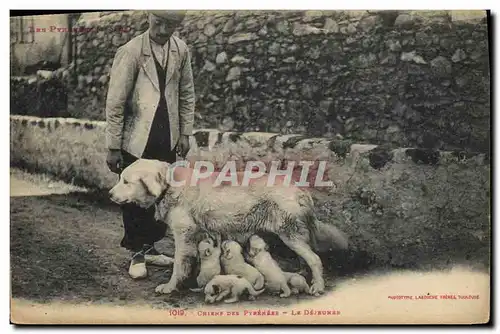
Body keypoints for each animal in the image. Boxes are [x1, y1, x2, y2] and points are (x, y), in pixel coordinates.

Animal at [108, 159, 352, 294]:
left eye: (126, 181)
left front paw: (170, 287)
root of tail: (300, 189)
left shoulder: (183, 236)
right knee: (306, 259)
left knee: (315, 259)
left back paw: (318, 286)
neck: (169, 185)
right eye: (120, 178)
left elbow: (179, 265)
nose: (110, 194)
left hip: (289, 234)